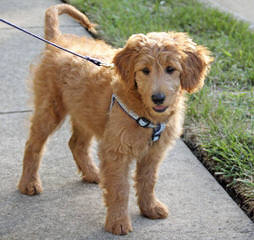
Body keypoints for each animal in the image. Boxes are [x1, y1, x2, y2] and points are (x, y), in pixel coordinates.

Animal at [17, 3, 212, 235]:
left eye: (171, 69)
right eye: (145, 70)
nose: (158, 98)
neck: (145, 112)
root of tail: (58, 41)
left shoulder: (152, 153)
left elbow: (148, 181)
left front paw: (149, 208)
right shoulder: (116, 150)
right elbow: (120, 188)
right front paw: (118, 222)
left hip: (85, 113)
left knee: (76, 143)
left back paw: (93, 174)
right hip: (50, 109)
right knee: (33, 144)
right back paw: (28, 183)